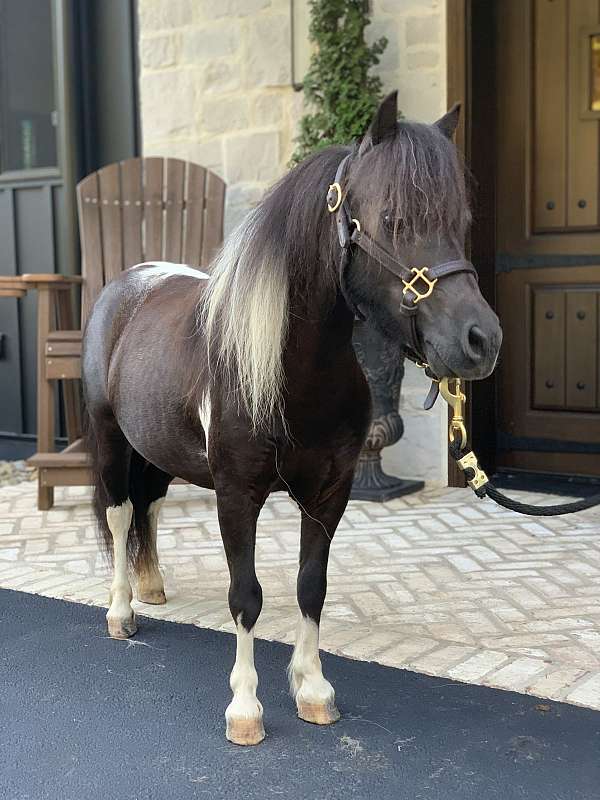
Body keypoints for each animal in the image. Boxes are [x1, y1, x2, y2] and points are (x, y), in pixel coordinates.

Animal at [81, 94, 502, 744]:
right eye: (393, 220)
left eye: (461, 221)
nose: (480, 341)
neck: (290, 369)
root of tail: (127, 284)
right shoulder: (237, 493)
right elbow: (246, 595)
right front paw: (245, 708)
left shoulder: (330, 491)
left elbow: (311, 586)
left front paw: (314, 691)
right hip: (109, 438)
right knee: (122, 510)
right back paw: (121, 611)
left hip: (158, 447)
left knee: (148, 505)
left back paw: (152, 588)